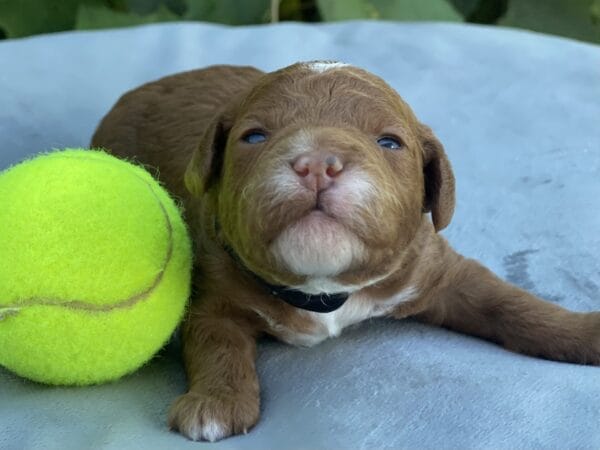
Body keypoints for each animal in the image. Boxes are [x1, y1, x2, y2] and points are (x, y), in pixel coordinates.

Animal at [90, 61, 600, 442]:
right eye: (254, 136)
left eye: (389, 142)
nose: (317, 163)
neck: (324, 288)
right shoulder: (214, 294)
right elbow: (216, 341)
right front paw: (215, 405)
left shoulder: (436, 269)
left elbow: (512, 304)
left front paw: (584, 332)